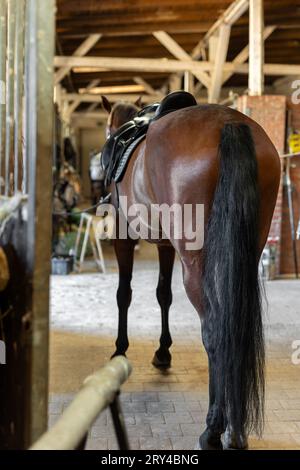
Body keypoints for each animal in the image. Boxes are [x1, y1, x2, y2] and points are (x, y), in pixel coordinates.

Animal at [102, 93, 280, 450]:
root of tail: (229, 124)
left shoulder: (123, 237)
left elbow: (124, 293)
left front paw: (120, 348)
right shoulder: (166, 245)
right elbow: (163, 295)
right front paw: (163, 351)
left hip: (196, 264)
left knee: (214, 331)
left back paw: (214, 430)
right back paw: (235, 431)